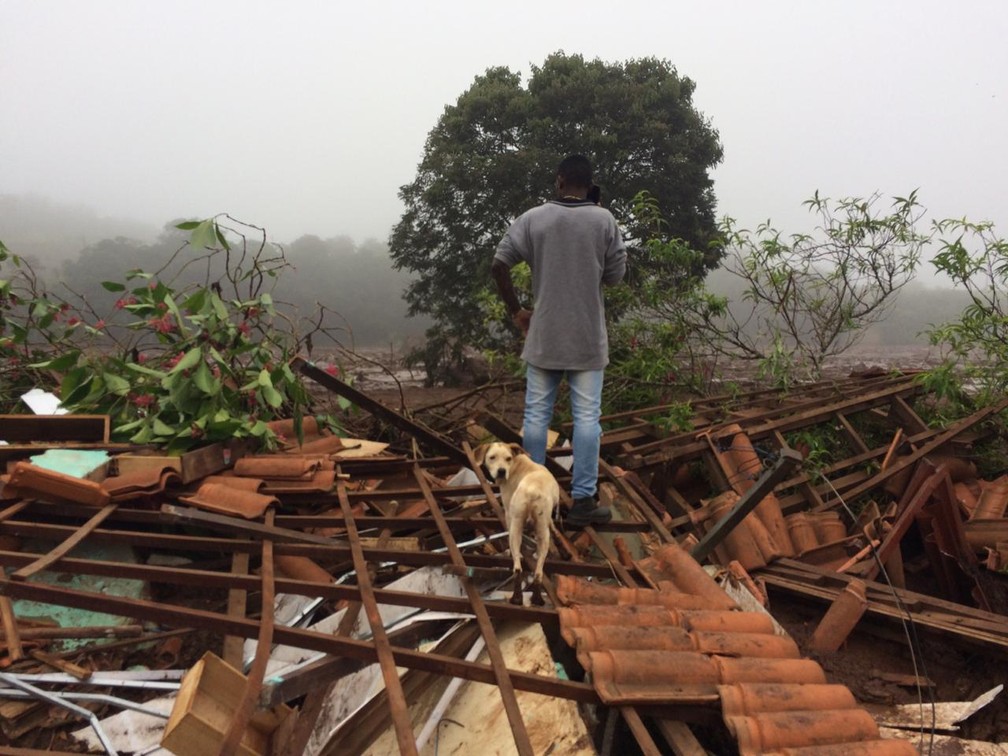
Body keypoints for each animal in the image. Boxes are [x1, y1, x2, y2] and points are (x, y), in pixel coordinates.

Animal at [471, 441, 560, 608]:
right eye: (492, 457)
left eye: (508, 458)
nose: (501, 471)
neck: (516, 464)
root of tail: (533, 490)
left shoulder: (507, 511)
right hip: (541, 531)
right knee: (538, 571)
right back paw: (536, 598)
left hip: (515, 527)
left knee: (517, 567)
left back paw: (517, 598)